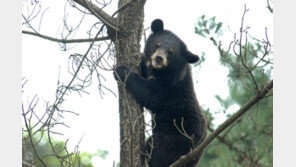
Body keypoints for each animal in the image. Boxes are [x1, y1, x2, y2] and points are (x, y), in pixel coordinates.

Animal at [113, 18, 206, 166]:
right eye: (157, 45)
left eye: (171, 52)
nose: (159, 58)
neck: (162, 72)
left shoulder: (168, 88)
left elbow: (149, 94)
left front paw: (121, 71)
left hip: (173, 140)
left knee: (156, 149)